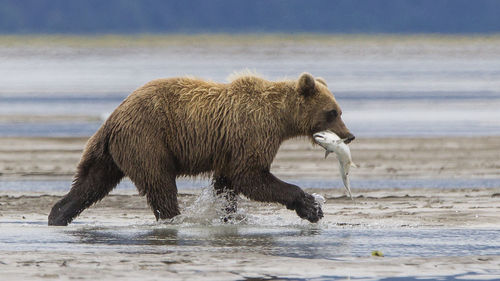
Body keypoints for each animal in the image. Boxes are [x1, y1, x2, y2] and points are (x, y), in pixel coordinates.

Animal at [47, 72, 352, 225]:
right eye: (332, 112)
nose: (349, 136)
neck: (280, 118)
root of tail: (113, 119)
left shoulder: (231, 147)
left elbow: (227, 183)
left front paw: (229, 214)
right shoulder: (252, 133)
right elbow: (252, 177)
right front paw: (311, 206)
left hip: (111, 152)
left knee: (91, 183)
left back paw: (58, 215)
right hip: (148, 141)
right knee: (160, 184)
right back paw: (174, 217)